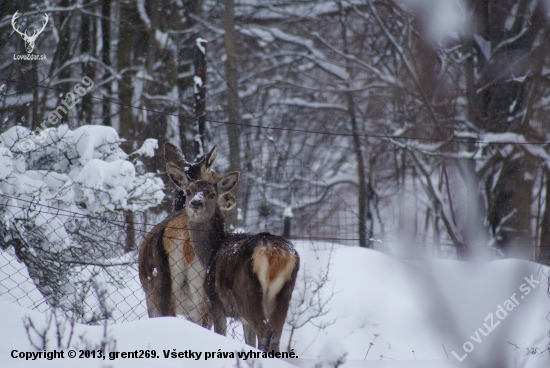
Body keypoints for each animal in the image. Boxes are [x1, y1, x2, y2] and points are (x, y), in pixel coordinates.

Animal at [166, 165, 300, 352]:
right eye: (188, 191)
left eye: (212, 194)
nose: (196, 203)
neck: (211, 252)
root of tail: (275, 253)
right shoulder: (241, 318)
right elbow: (249, 341)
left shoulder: (216, 302)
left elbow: (221, 333)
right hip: (283, 296)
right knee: (275, 336)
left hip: (248, 295)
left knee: (265, 332)